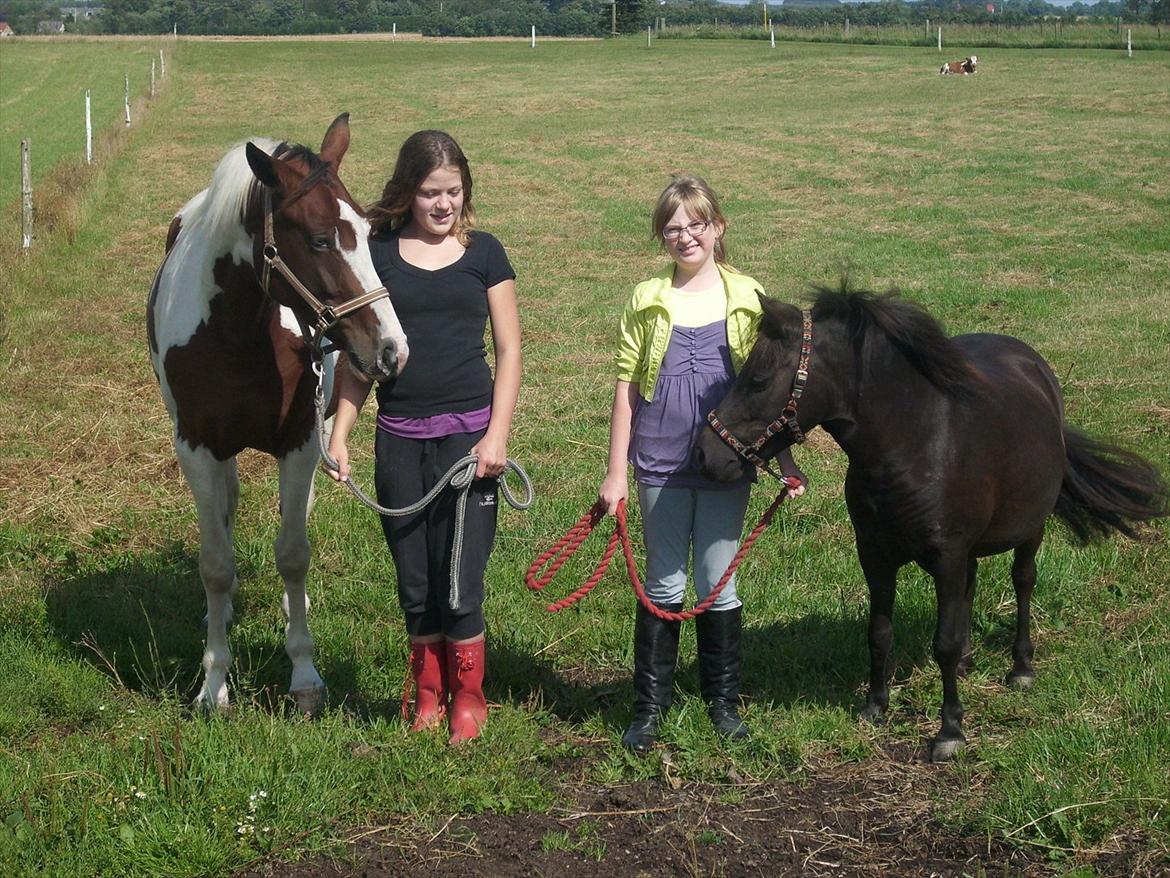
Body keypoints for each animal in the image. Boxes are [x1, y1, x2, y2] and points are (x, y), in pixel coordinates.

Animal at [148, 113, 409, 716]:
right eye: (319, 239)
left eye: (368, 232)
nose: (392, 349)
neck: (237, 334)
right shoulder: (196, 447)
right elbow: (216, 563)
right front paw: (213, 684)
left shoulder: (300, 441)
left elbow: (293, 553)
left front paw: (305, 675)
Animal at [697, 289, 1165, 763]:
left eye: (758, 380)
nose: (705, 455)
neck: (914, 443)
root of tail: (1036, 368)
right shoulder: (876, 557)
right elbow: (880, 632)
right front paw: (875, 706)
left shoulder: (946, 557)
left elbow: (943, 643)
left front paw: (950, 730)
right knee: (971, 589)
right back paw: (968, 663)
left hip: (1029, 530)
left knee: (1023, 582)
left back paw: (1021, 667)